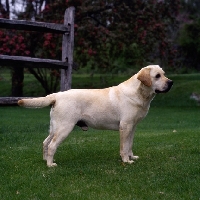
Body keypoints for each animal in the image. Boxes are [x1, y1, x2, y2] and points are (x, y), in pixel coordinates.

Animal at [18, 65, 173, 166]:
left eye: (164, 74)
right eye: (157, 76)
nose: (171, 82)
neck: (139, 93)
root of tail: (57, 95)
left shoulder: (132, 127)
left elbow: (129, 145)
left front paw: (132, 157)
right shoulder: (125, 126)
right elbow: (124, 147)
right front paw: (126, 161)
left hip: (54, 127)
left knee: (45, 142)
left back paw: (46, 160)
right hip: (64, 128)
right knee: (52, 145)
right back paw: (50, 165)